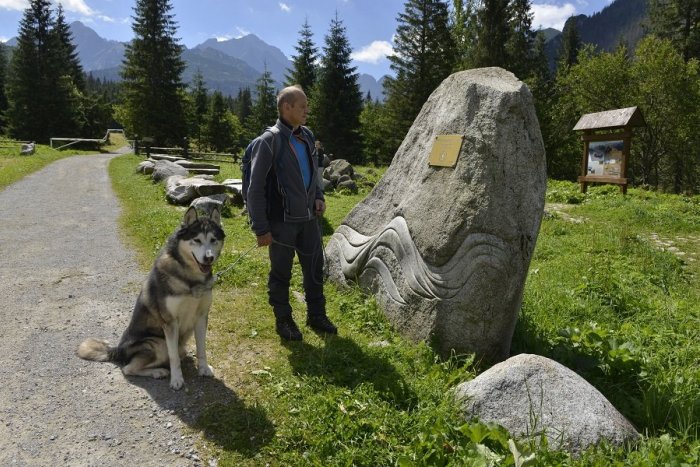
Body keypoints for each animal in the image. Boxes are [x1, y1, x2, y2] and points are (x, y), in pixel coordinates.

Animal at [79, 207, 227, 390]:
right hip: (158, 344)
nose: (208, 258)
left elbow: (202, 348)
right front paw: (177, 379)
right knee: (129, 368)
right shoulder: (170, 322)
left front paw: (204, 368)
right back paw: (158, 372)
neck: (190, 278)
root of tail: (118, 350)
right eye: (197, 240)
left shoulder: (201, 316)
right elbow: (173, 357)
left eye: (213, 240)